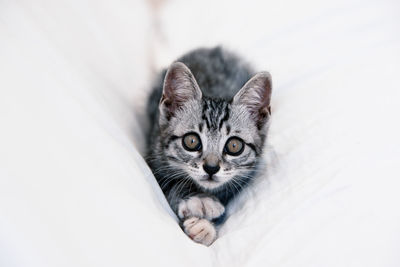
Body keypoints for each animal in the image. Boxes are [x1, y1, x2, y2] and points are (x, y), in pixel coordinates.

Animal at [145, 46, 272, 247]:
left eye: (234, 145)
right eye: (191, 141)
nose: (211, 168)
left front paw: (205, 227)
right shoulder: (154, 154)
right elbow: (170, 183)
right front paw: (200, 201)